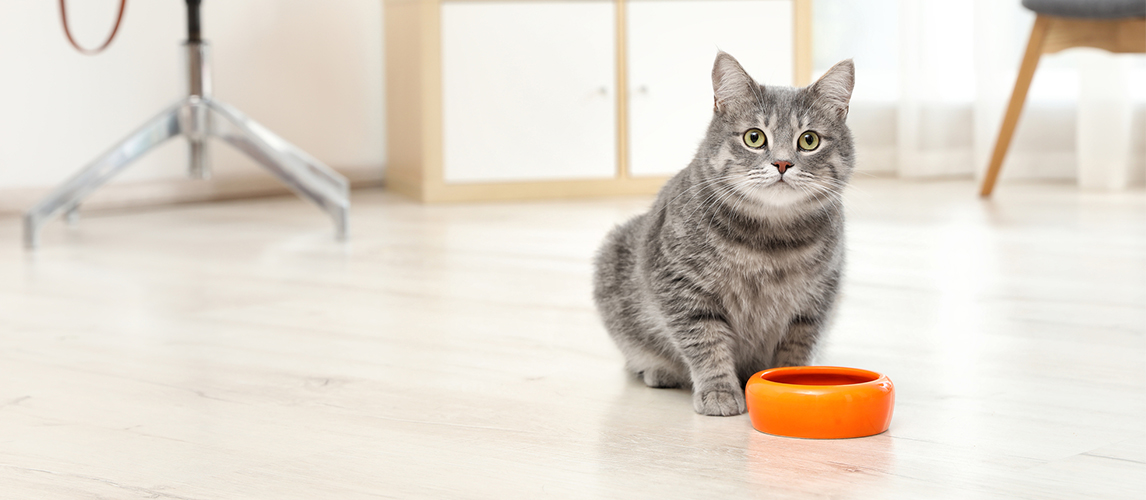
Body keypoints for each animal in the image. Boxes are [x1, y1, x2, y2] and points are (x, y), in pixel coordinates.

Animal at [595, 52, 857, 415]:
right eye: (754, 137)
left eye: (809, 140)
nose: (782, 164)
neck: (769, 243)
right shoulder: (682, 288)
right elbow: (706, 343)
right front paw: (719, 391)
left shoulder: (816, 300)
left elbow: (797, 347)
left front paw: (795, 380)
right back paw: (659, 371)